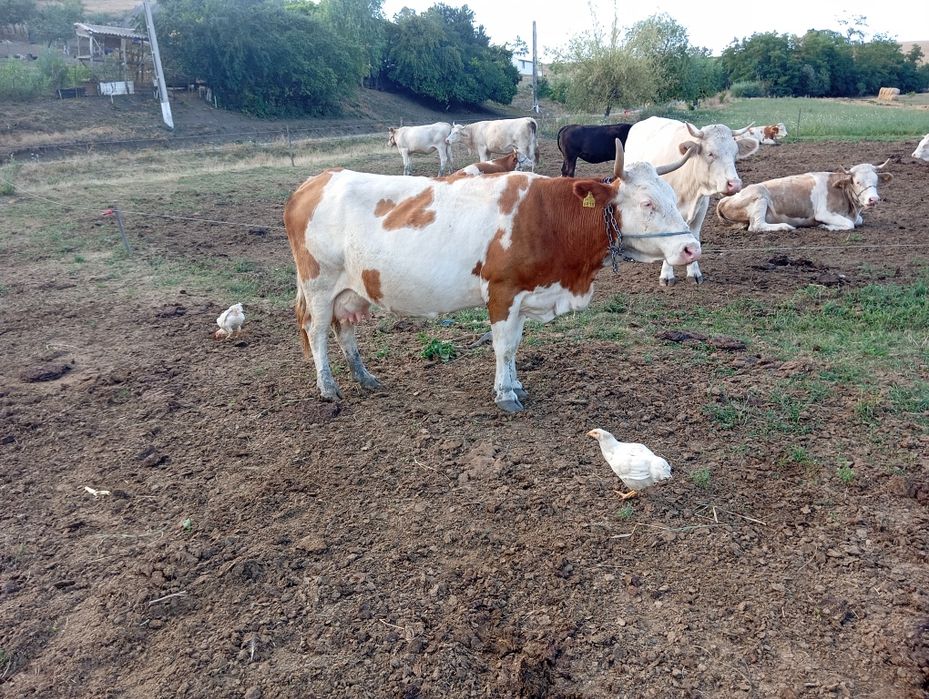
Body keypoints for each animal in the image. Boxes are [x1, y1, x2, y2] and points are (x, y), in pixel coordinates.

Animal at [283, 140, 700, 413]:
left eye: (672, 196)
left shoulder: (526, 294)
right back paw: (328, 387)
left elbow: (515, 344)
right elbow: (504, 346)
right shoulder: (502, 292)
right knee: (316, 331)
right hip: (319, 285)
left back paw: (364, 377)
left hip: (350, 289)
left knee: (344, 329)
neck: (549, 218)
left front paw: (515, 385)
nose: (691, 248)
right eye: (647, 202)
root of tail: (314, 181)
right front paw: (505, 395)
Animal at [623, 116, 758, 286]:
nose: (735, 184)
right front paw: (667, 275)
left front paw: (694, 272)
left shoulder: (701, 209)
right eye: (710, 153)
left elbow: (693, 237)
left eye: (735, 153)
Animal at [716, 160, 893, 233]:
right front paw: (827, 227)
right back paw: (784, 227)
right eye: (857, 181)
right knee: (756, 226)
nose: (873, 200)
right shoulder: (824, 213)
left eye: (876, 181)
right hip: (760, 197)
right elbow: (850, 224)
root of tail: (727, 199)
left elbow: (858, 221)